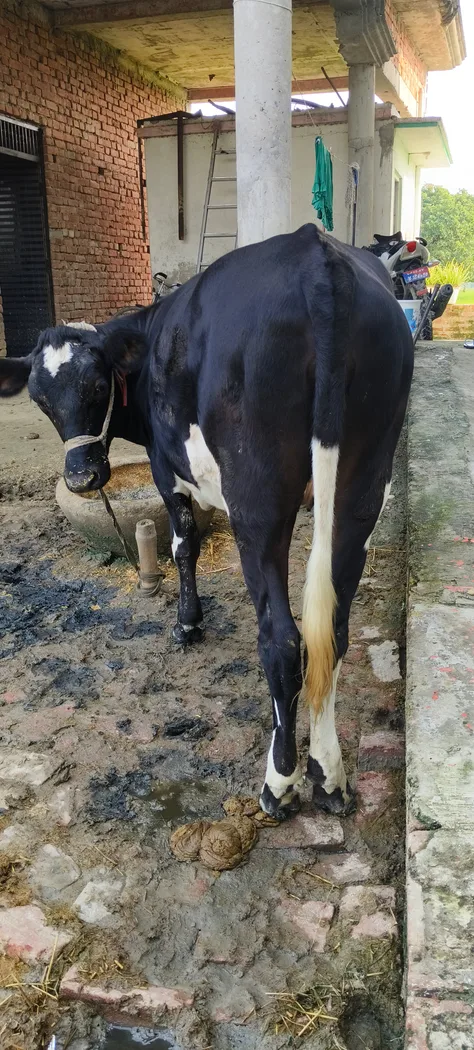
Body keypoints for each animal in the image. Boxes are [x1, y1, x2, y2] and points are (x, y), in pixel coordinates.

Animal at [0, 224, 413, 821]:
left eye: (98, 386)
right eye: (39, 399)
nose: (81, 476)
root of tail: (318, 261)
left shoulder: (164, 469)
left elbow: (184, 544)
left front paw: (188, 623)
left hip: (258, 502)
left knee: (282, 642)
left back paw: (279, 784)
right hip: (361, 489)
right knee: (331, 630)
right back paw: (329, 778)